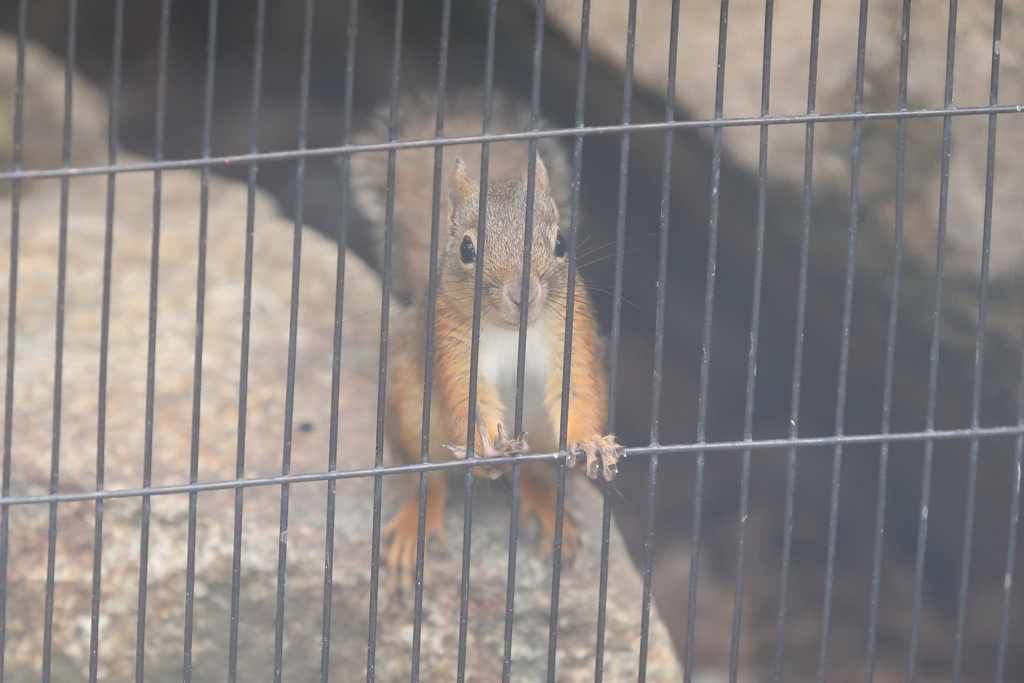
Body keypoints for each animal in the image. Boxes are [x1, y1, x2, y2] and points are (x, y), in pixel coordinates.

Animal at [356, 88, 618, 585]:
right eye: (466, 249)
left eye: (560, 243)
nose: (523, 293)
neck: (514, 330)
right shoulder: (450, 340)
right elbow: (466, 395)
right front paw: (486, 449)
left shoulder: (570, 330)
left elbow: (578, 388)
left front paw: (590, 442)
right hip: (410, 412)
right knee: (431, 479)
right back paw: (416, 522)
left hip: (538, 431)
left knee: (533, 471)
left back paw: (546, 504)